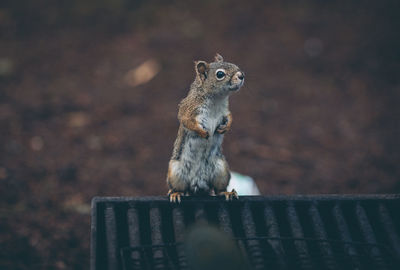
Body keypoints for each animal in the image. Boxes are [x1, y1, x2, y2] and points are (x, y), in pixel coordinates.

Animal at [166, 53, 244, 202]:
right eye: (220, 74)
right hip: (175, 173)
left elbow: (230, 117)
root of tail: (198, 185)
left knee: (219, 189)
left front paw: (225, 128)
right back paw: (175, 193)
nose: (241, 75)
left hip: (221, 171)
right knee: (180, 188)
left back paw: (227, 193)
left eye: (235, 65)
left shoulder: (224, 111)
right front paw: (202, 132)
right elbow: (186, 120)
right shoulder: (189, 108)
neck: (216, 99)